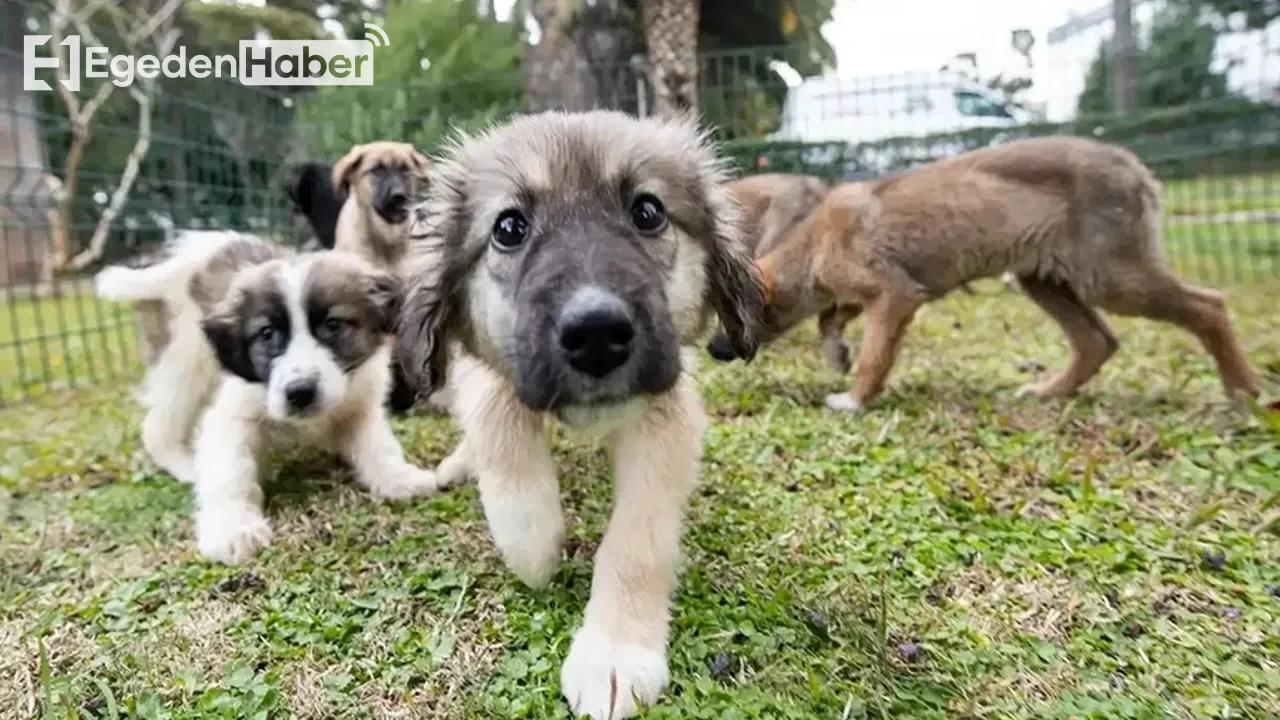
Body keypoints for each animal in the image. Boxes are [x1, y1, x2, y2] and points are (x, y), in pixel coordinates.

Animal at [96, 233, 445, 563]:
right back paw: (185, 465)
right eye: (266, 333)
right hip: (185, 364)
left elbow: (378, 446)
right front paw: (233, 528)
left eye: (333, 325)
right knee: (157, 426)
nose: (300, 393)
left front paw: (397, 476)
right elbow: (229, 472)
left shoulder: (360, 404)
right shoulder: (232, 414)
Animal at [396, 109, 757, 712]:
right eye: (509, 228)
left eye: (648, 212)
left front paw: (616, 652)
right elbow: (503, 430)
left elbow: (638, 540)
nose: (596, 334)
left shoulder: (665, 410)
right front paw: (534, 544)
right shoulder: (496, 373)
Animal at [711, 135, 1259, 409]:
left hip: (1111, 277)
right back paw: (1048, 393)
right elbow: (833, 318)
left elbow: (874, 355)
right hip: (1045, 280)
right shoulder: (873, 293)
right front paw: (836, 352)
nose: (714, 351)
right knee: (1096, 342)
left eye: (726, 318)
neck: (811, 244)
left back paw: (1243, 392)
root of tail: (1137, 166)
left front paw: (856, 398)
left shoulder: (895, 294)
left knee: (1210, 307)